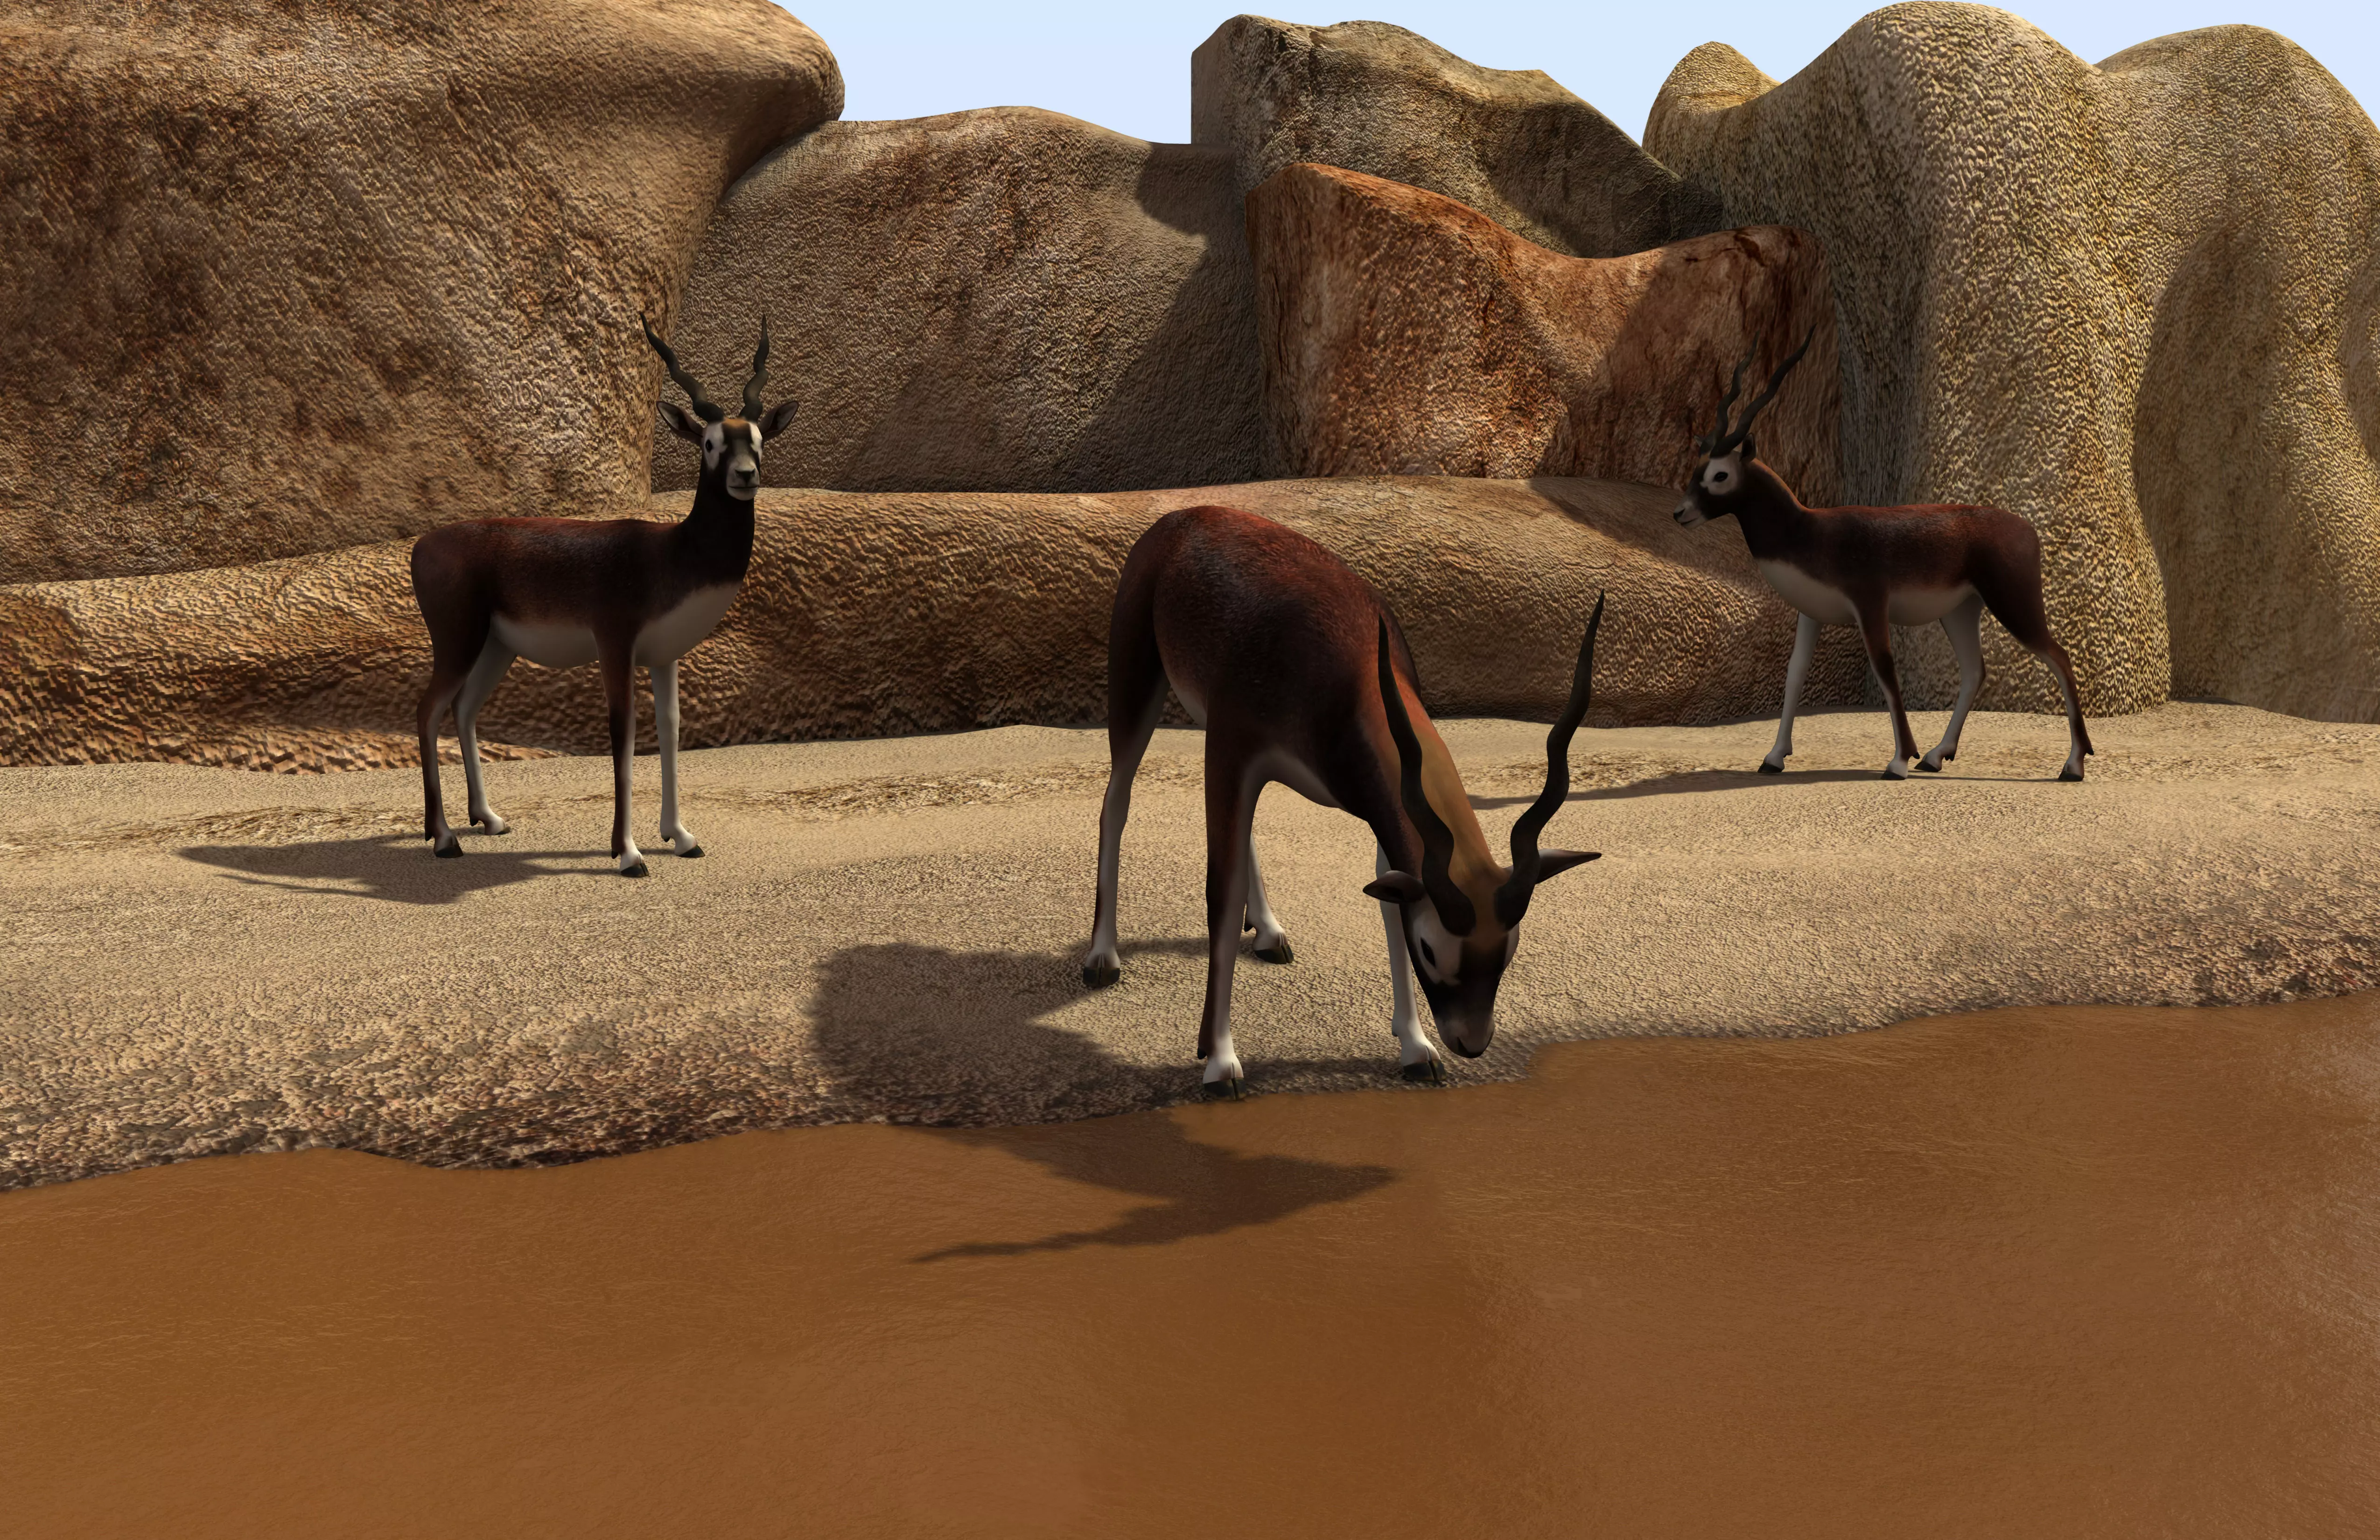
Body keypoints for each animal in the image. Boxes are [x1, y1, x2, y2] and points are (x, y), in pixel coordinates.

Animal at [409, 317, 796, 874]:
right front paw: (629, 854)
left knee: (463, 709)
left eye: (761, 439)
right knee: (428, 711)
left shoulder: (664, 656)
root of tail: (423, 544)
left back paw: (490, 820)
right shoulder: (616, 645)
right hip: (458, 641)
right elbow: (623, 733)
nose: (747, 476)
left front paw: (681, 837)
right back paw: (443, 839)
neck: (672, 553)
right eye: (710, 443)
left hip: (496, 647)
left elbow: (671, 730)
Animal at [1081, 505, 1604, 1095]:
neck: (1346, 674)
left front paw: (1417, 1050)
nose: (1471, 1042)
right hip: (1137, 686)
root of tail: (1182, 516)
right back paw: (1102, 958)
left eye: (1508, 949)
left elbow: (1387, 901)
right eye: (1432, 949)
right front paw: (1220, 1062)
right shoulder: (1236, 751)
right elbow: (1222, 896)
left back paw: (1270, 934)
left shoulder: (1391, 814)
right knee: (1116, 802)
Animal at [1673, 336, 2094, 782]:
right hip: (1961, 610)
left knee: (2059, 657)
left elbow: (1885, 668)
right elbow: (1794, 674)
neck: (1807, 530)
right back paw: (1936, 756)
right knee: (1975, 670)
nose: (1680, 513)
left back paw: (2073, 766)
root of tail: (2028, 529)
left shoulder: (1870, 603)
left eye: (1720, 474)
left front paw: (1898, 760)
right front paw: (1773, 758)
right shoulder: (1811, 613)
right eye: (1697, 469)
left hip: (2013, 601)